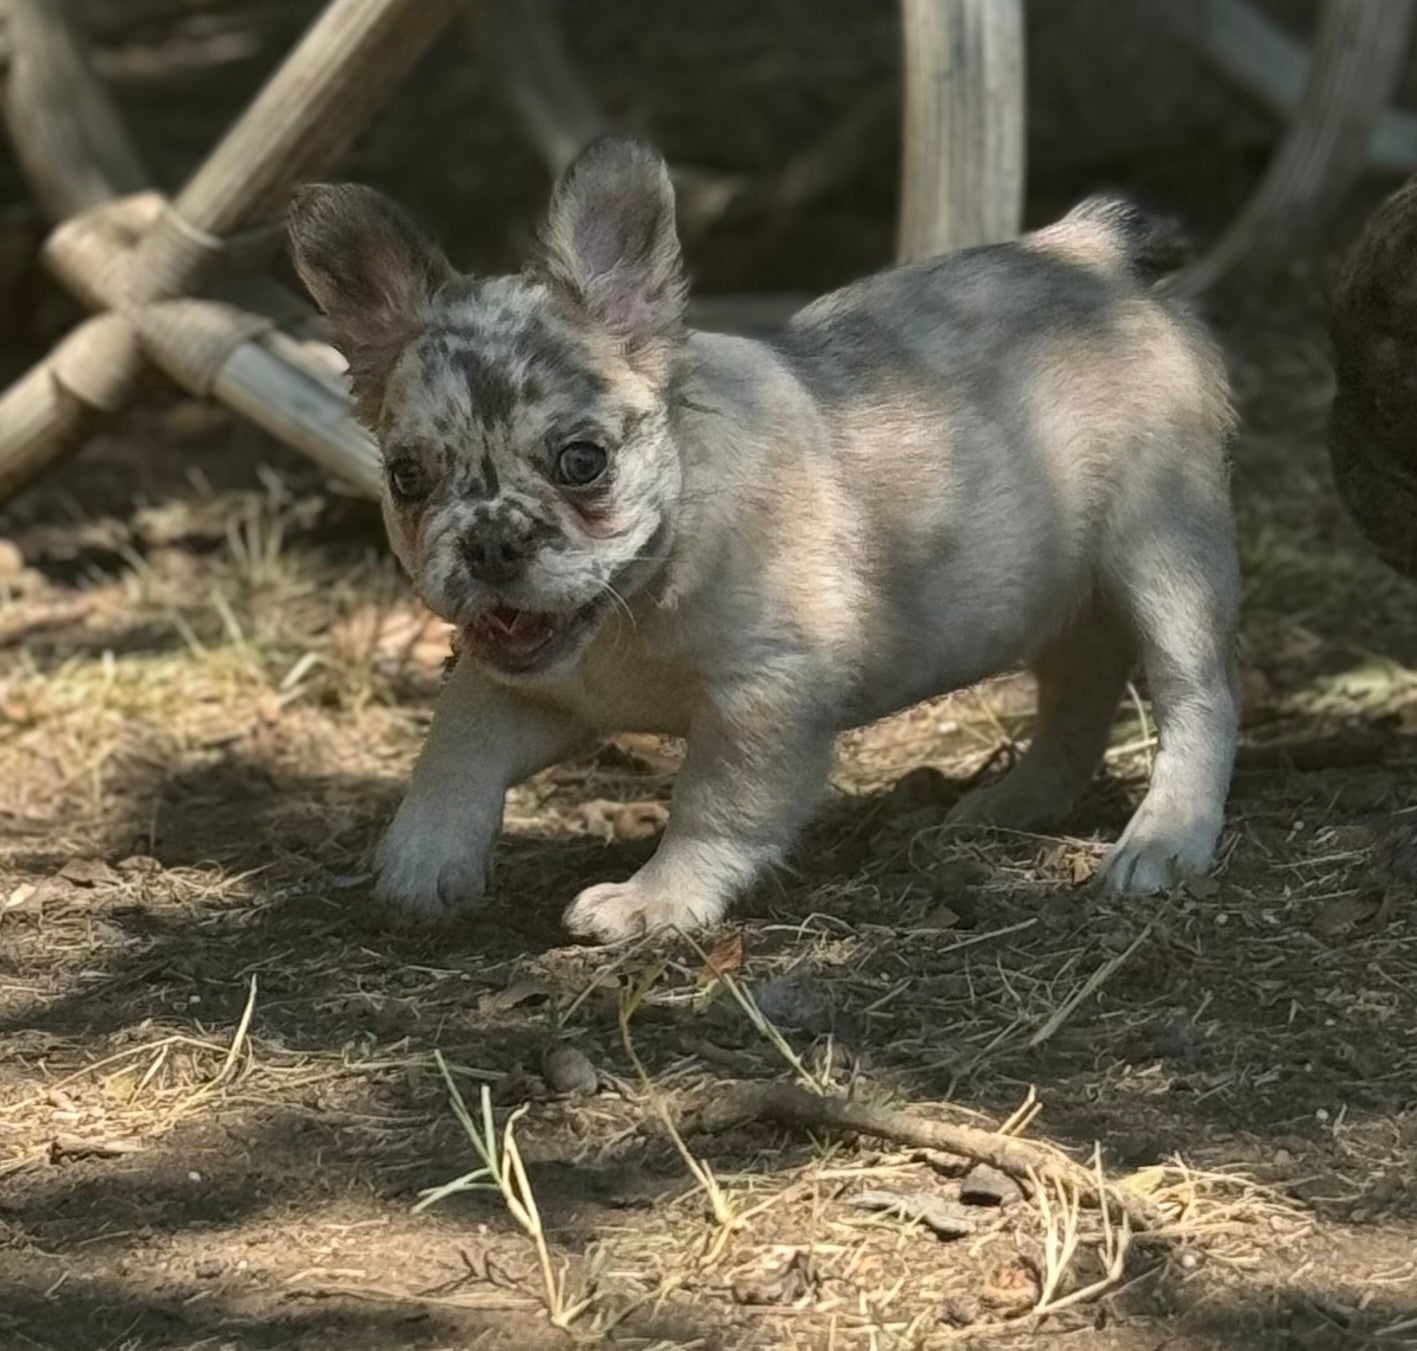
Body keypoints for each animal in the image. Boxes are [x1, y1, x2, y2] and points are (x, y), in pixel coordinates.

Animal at [290, 134, 1241, 935]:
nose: (489, 544)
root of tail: (1087, 252)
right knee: (1079, 686)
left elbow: (713, 805)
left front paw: (657, 897)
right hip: (1051, 587)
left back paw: (1163, 837)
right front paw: (423, 855)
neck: (640, 596)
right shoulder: (524, 683)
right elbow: (454, 742)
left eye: (580, 461)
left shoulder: (764, 700)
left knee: (1196, 694)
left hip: (1163, 553)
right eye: (407, 478)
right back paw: (1018, 803)